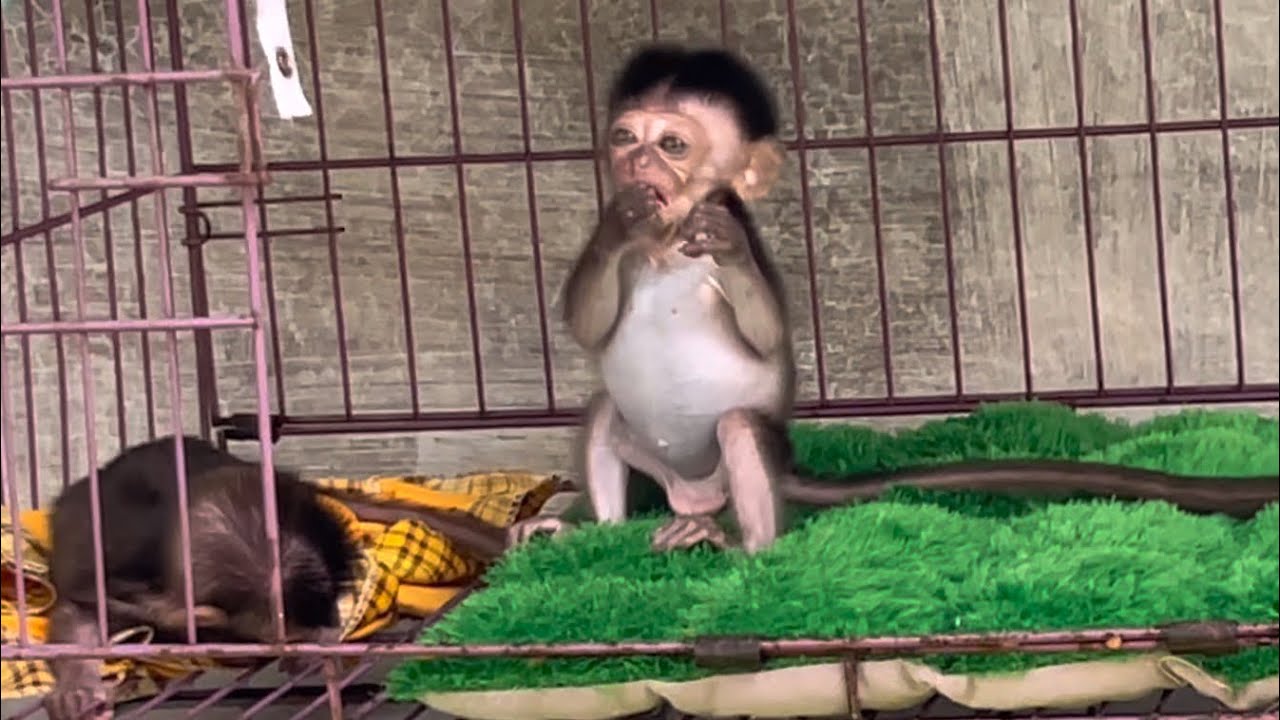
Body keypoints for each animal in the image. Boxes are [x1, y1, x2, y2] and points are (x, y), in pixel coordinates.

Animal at [507, 43, 1279, 556]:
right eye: (625, 138)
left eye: (672, 144)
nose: (637, 165)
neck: (668, 248)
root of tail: (698, 492)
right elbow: (586, 320)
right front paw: (618, 224)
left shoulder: (739, 231)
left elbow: (766, 334)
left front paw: (721, 247)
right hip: (657, 463)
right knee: (606, 414)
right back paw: (585, 532)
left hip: (746, 458)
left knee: (738, 431)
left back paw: (738, 546)